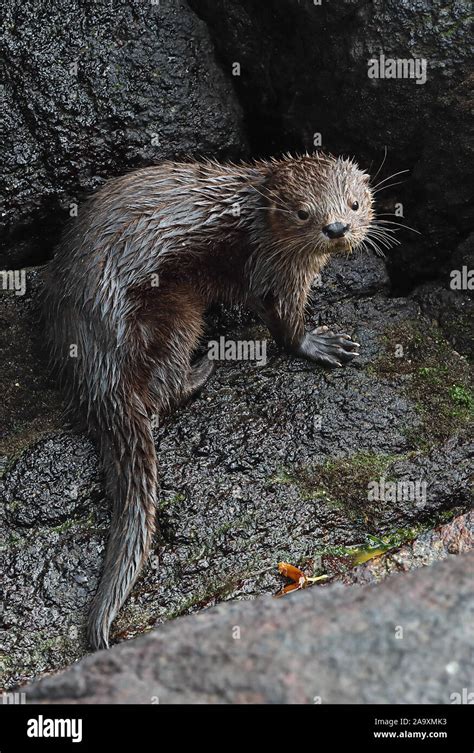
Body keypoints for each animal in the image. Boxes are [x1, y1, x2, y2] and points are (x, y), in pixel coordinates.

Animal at [44, 151, 382, 648]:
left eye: (354, 204)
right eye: (304, 213)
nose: (336, 227)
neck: (257, 220)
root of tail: (95, 363)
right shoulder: (275, 266)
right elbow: (282, 321)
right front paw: (321, 344)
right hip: (172, 313)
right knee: (163, 391)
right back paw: (206, 365)